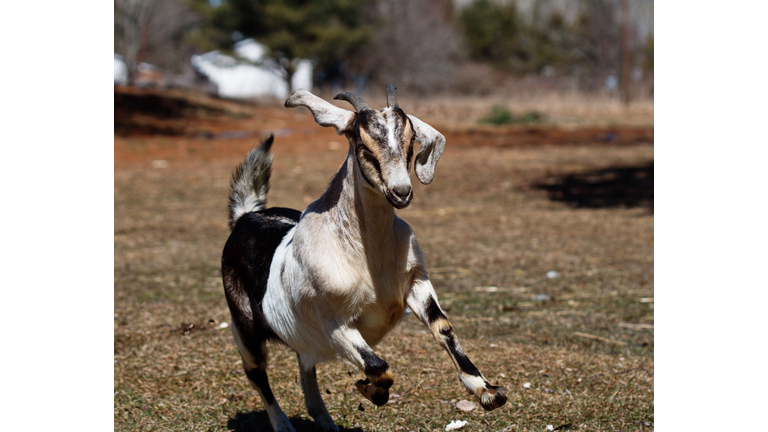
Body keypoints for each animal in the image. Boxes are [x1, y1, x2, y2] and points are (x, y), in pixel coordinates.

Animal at [222, 85, 508, 432]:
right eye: (362, 146)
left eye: (411, 142)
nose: (401, 192)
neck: (368, 257)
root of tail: (245, 216)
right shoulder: (334, 323)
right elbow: (379, 367)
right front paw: (369, 390)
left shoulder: (415, 282)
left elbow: (443, 328)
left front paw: (486, 391)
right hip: (244, 327)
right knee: (256, 373)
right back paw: (283, 424)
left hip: (303, 340)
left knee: (305, 369)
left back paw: (325, 421)